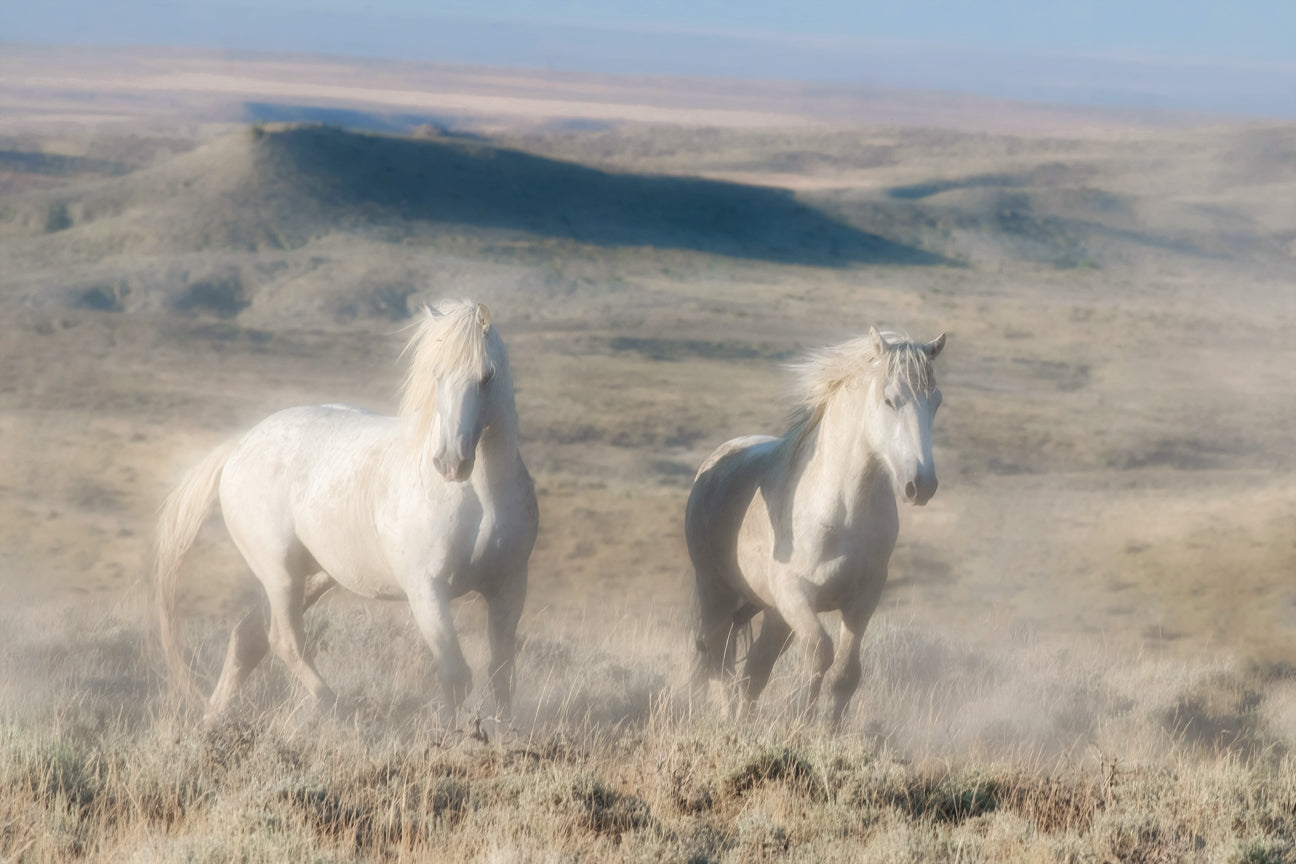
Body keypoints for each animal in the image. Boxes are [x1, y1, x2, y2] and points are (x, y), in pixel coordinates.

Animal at [151, 300, 536, 720]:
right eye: (437, 374)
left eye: (487, 376)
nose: (451, 462)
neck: (479, 496)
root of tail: (238, 447)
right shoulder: (427, 590)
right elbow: (455, 674)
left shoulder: (509, 587)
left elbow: (501, 672)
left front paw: (502, 730)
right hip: (280, 573)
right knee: (284, 641)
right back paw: (333, 708)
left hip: (313, 576)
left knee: (248, 637)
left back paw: (214, 718)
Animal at [684, 327, 948, 725]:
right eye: (890, 400)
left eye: (936, 403)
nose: (921, 485)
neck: (840, 511)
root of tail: (717, 459)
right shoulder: (796, 596)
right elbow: (820, 654)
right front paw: (802, 721)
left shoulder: (863, 601)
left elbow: (845, 673)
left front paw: (829, 731)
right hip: (717, 591)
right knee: (719, 658)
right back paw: (727, 720)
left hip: (773, 615)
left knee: (754, 669)